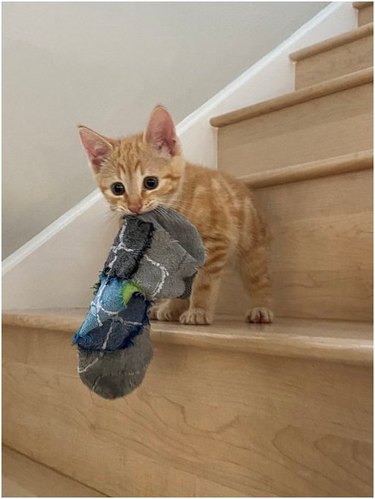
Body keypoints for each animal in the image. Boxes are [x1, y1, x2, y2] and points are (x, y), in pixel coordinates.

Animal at [78, 106, 274, 324]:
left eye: (151, 182)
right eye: (117, 188)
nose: (134, 206)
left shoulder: (217, 241)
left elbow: (204, 282)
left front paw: (199, 310)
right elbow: (181, 286)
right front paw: (173, 306)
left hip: (251, 246)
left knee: (258, 277)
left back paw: (262, 307)